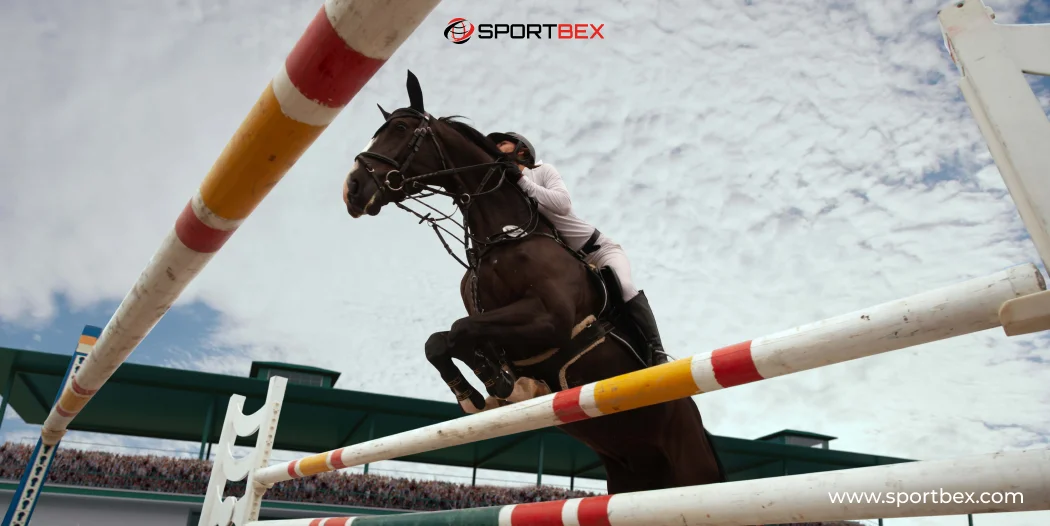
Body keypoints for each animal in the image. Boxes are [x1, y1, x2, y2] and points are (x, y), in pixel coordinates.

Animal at [341, 71, 725, 493]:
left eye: (401, 129)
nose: (352, 189)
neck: (502, 238)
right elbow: (441, 341)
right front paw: (481, 391)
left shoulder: (550, 320)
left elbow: (460, 330)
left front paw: (500, 383)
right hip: (628, 480)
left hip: (690, 472)